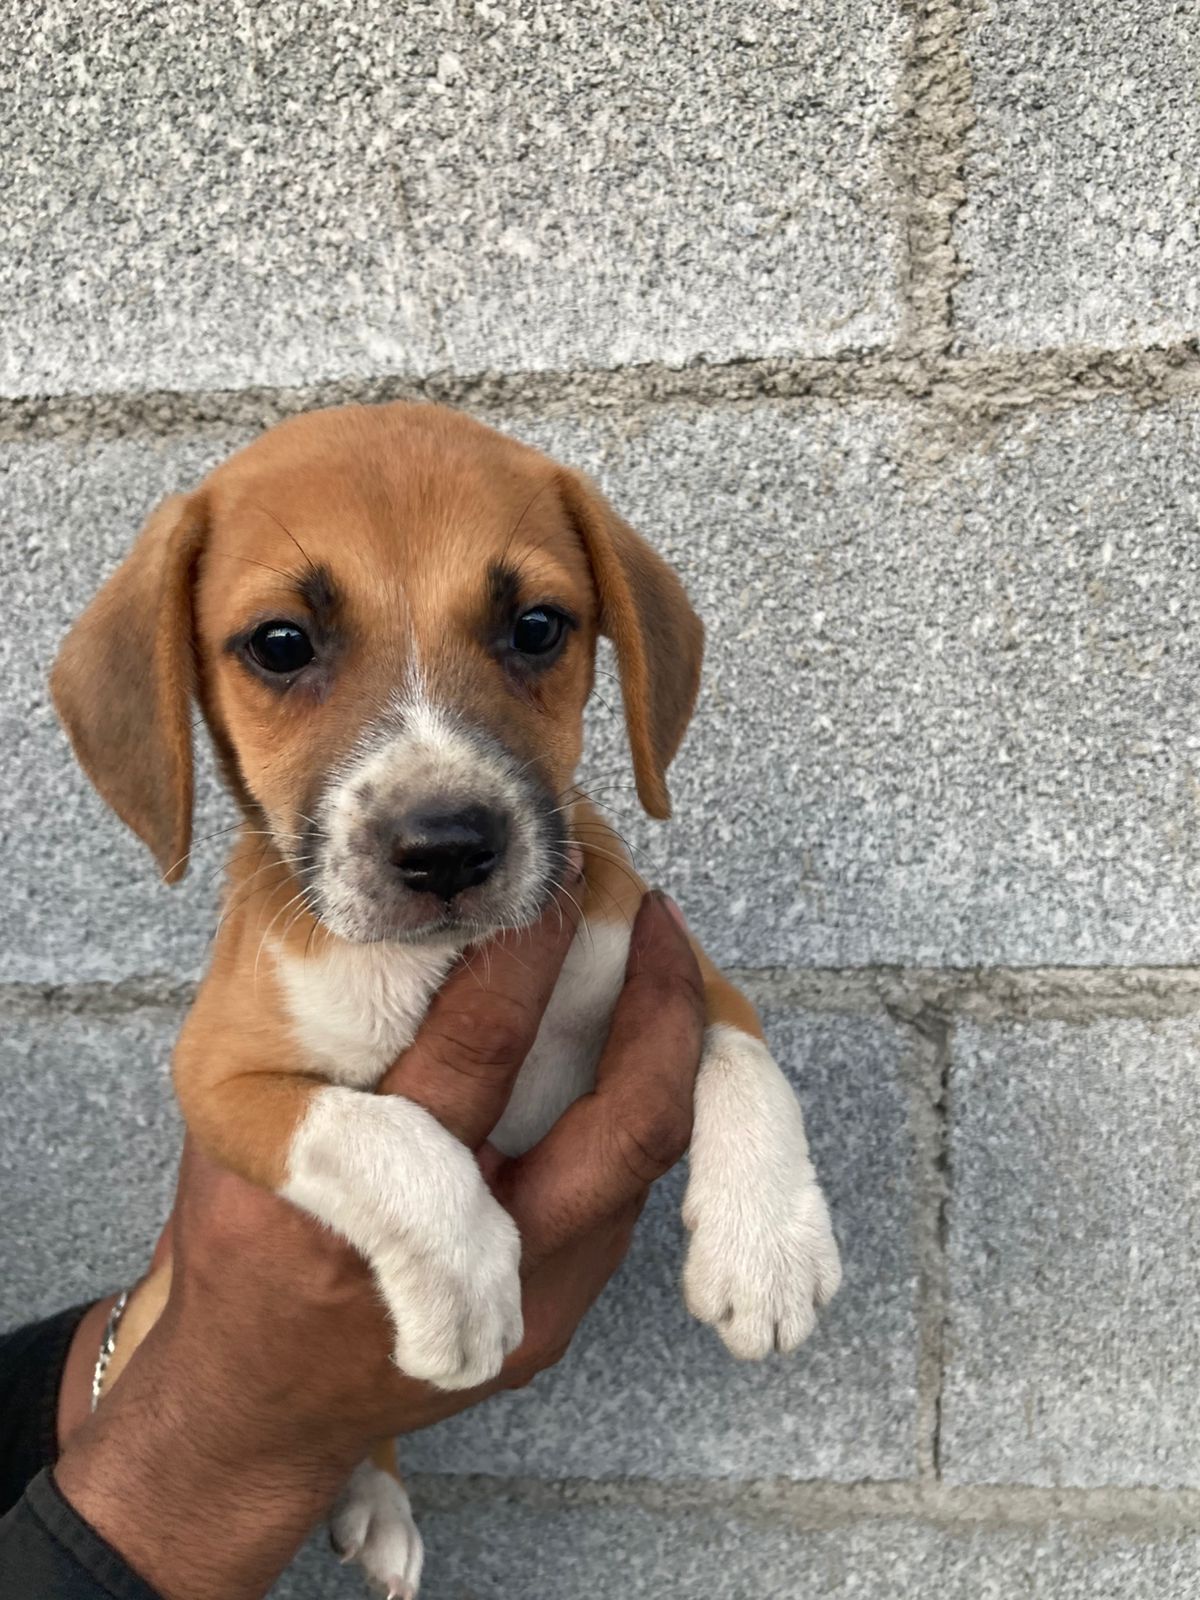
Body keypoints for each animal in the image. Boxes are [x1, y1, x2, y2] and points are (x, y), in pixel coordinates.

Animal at [51, 402, 841, 1598]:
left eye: (537, 627)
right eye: (280, 643)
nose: (446, 848)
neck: (431, 961)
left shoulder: (666, 962)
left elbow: (744, 1054)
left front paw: (765, 1249)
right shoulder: (222, 1078)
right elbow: (383, 1133)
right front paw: (466, 1279)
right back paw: (371, 1489)